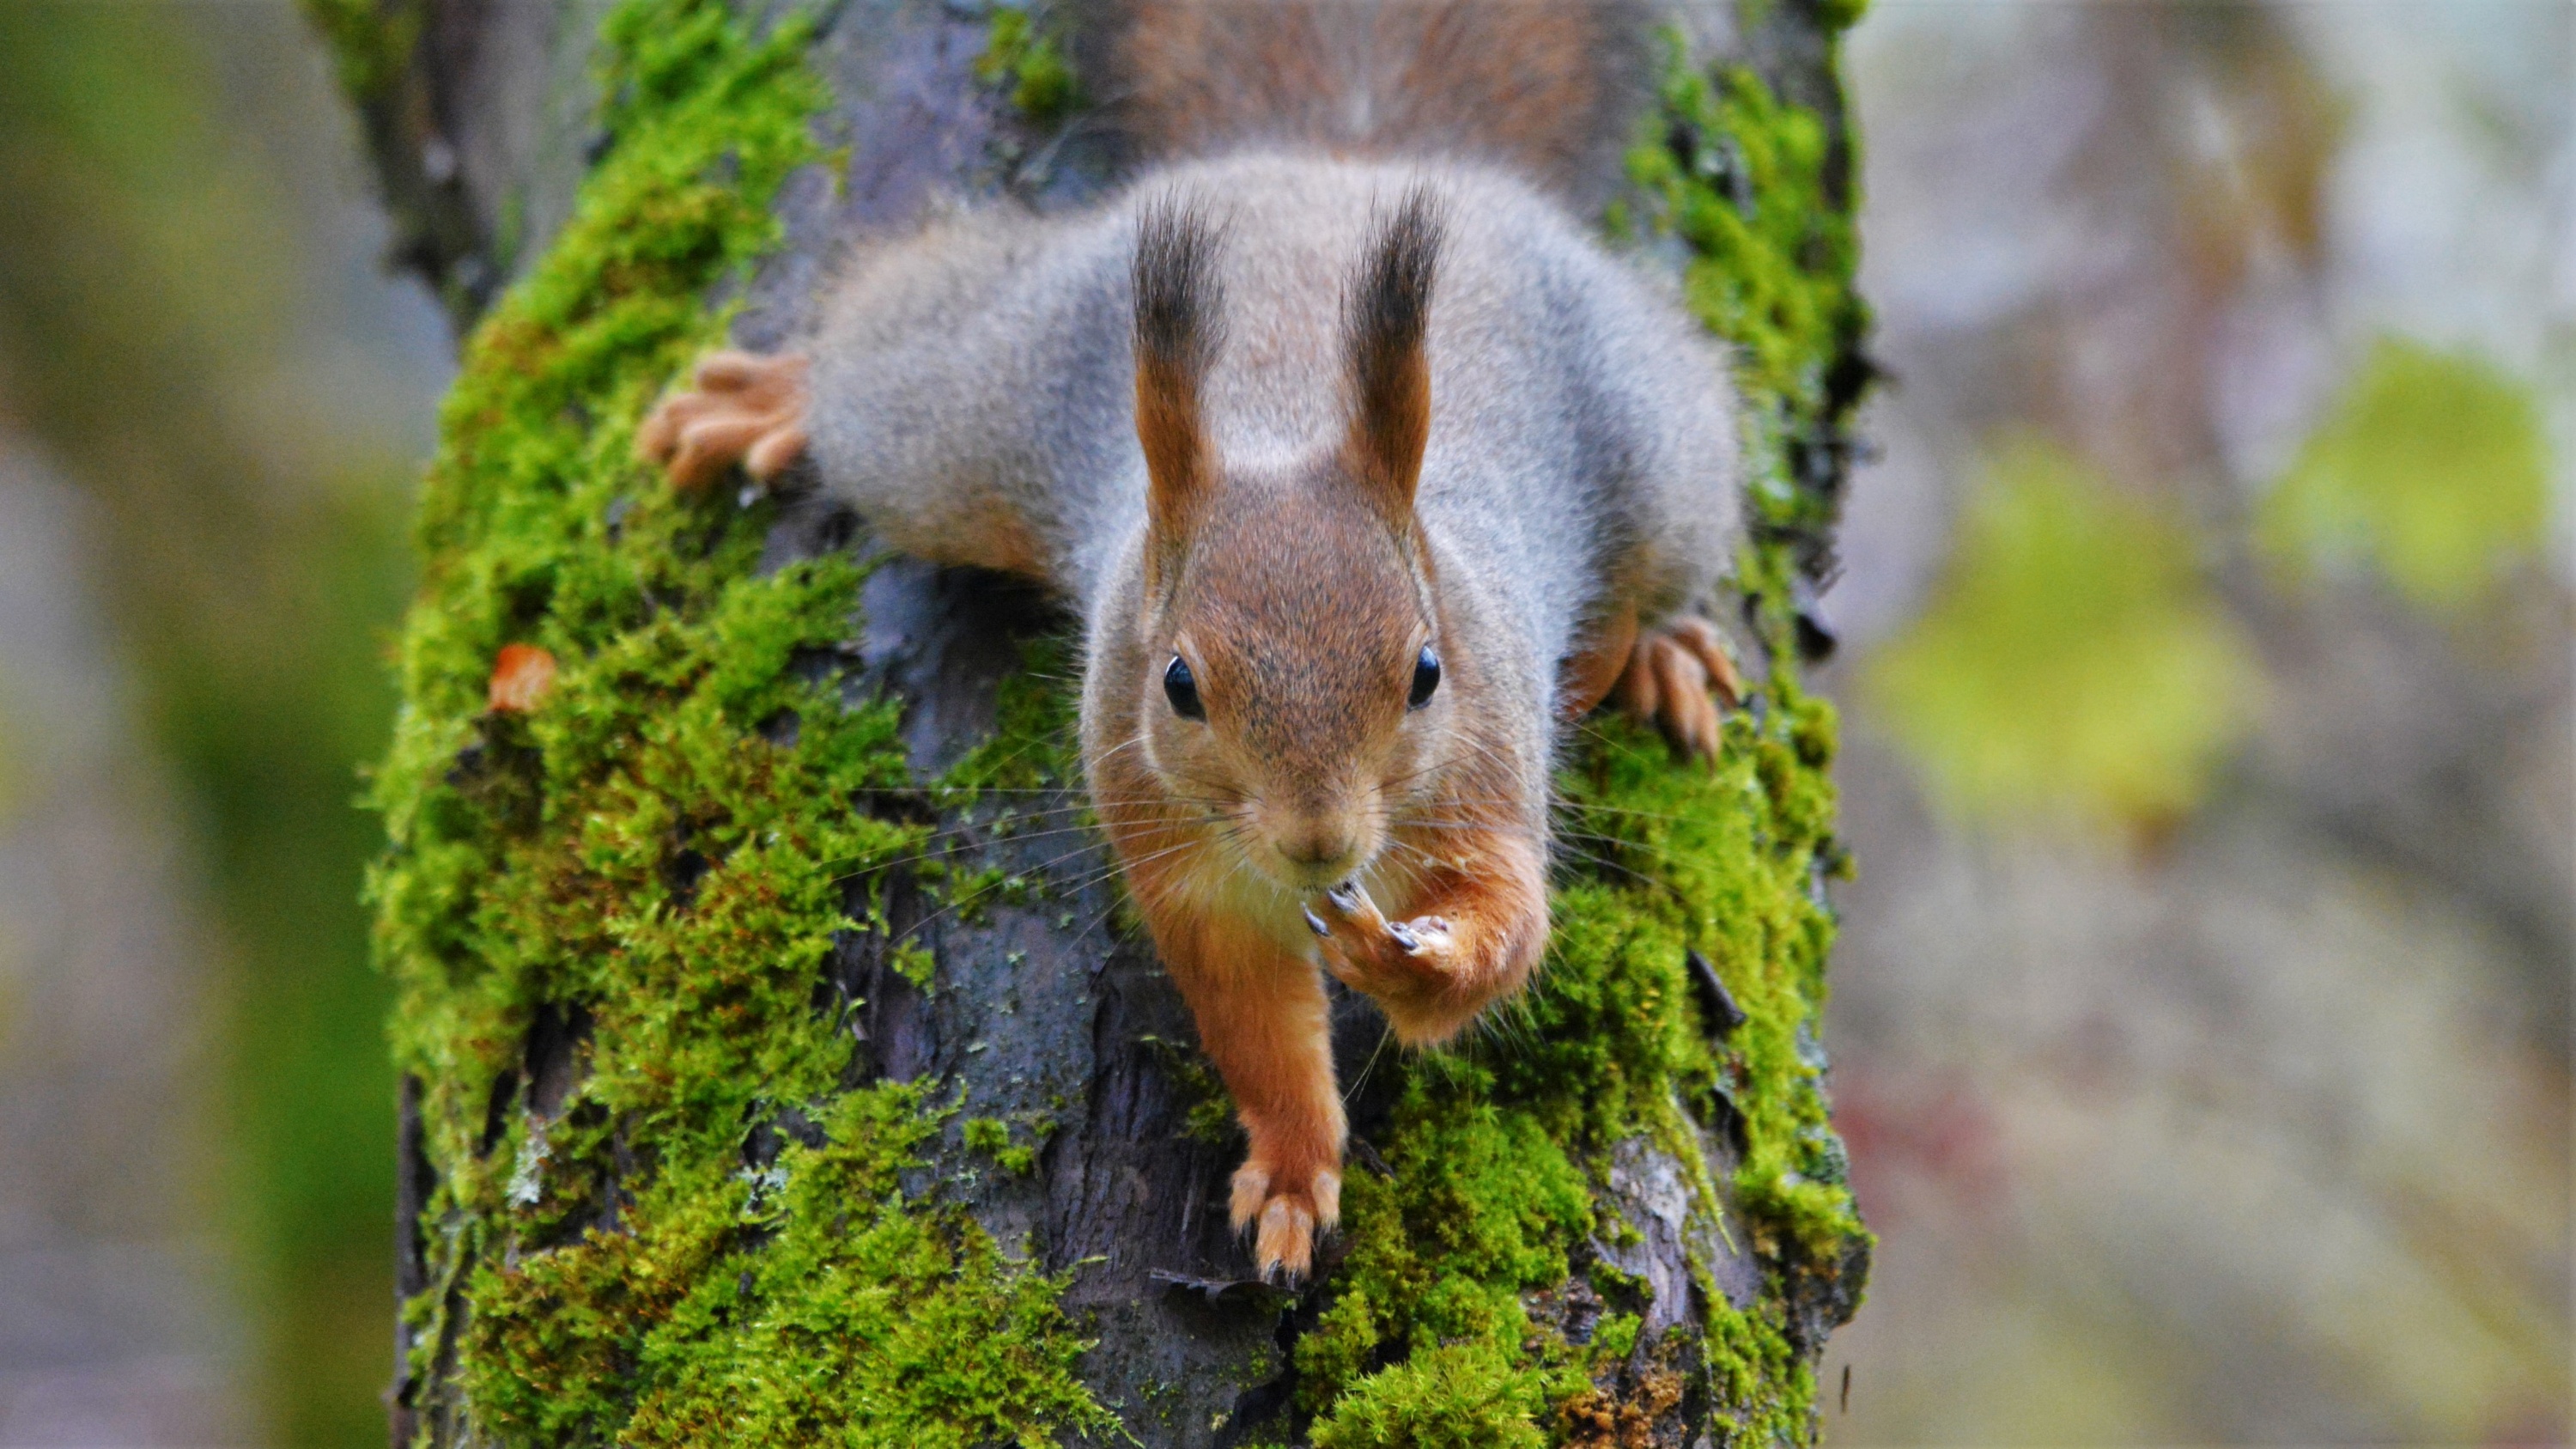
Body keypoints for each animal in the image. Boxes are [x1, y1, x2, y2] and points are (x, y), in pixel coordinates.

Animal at [639, 0, 1752, 1273]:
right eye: (1179, 682)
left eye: (1427, 670)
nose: (1320, 844)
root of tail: (1334, 166)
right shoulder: (1178, 859)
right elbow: (1254, 1021)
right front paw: (1295, 1165)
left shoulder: (1490, 770)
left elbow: (1508, 931)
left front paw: (1409, 960)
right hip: (973, 409)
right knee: (890, 360)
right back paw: (777, 395)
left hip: (1660, 443)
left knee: (1662, 558)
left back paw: (1660, 649)